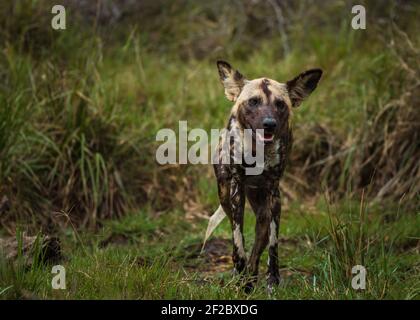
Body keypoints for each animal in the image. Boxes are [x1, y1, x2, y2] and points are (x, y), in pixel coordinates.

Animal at [208, 60, 324, 292]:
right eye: (253, 102)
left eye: (280, 104)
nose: (269, 123)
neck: (257, 150)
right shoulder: (236, 190)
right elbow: (238, 239)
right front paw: (239, 270)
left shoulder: (273, 192)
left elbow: (273, 244)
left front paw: (272, 280)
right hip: (225, 195)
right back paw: (242, 276)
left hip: (262, 208)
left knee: (259, 241)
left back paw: (251, 279)